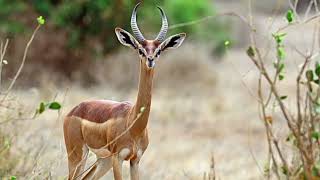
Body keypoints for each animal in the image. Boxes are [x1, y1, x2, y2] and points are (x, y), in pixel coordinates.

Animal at [63, 3, 186, 180]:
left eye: (158, 51)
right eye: (141, 50)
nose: (150, 60)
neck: (133, 122)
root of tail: (73, 111)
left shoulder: (135, 160)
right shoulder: (118, 158)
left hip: (103, 160)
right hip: (78, 156)